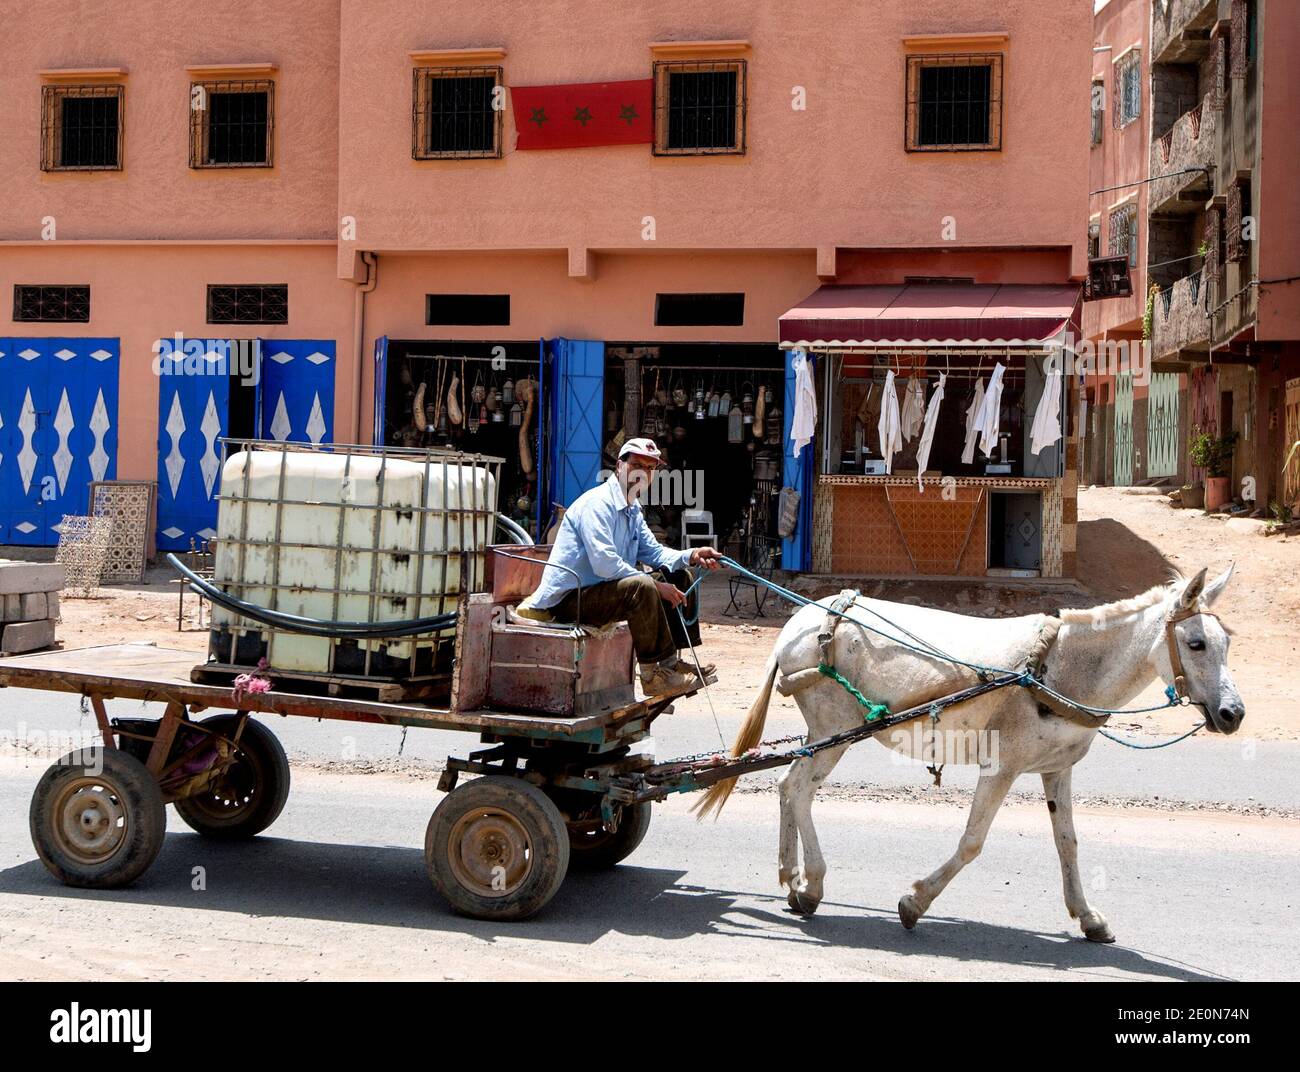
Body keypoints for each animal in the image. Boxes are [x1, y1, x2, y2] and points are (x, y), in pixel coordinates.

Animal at [694, 565, 1243, 943]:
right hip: (838, 729)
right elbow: (973, 842)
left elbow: (1068, 843)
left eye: (1227, 643)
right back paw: (812, 885)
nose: (1234, 713)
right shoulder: (1001, 768)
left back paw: (792, 880)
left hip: (824, 732)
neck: (1059, 668)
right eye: (1196, 643)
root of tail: (799, 623)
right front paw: (914, 903)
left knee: (788, 786)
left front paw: (1088, 919)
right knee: (800, 789)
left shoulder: (1056, 769)